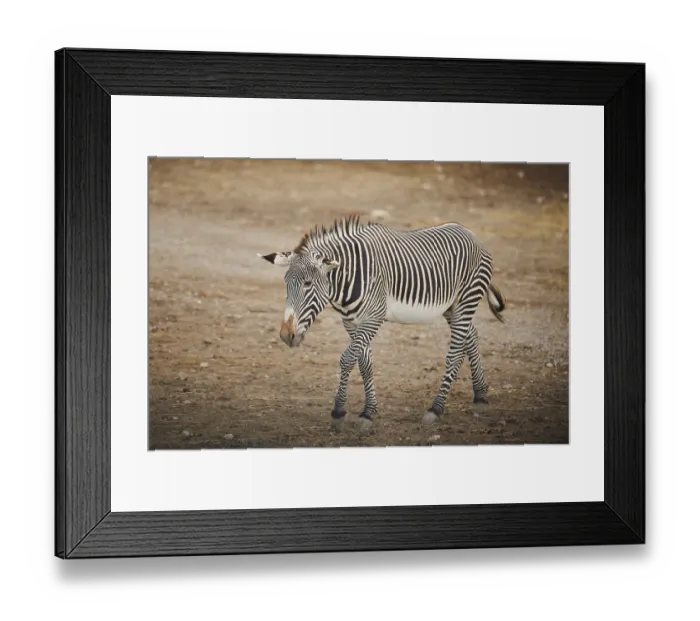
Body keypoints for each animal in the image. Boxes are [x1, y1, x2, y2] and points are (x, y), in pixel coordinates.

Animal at [259, 214, 506, 430]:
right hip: (451, 307)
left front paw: (339, 412)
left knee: (455, 351)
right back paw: (480, 397)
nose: (286, 335)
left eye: (308, 284)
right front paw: (369, 411)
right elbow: (364, 364)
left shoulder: (374, 317)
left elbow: (347, 359)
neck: (347, 280)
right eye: (286, 283)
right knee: (470, 336)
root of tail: (470, 232)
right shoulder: (351, 322)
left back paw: (436, 409)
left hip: (467, 298)